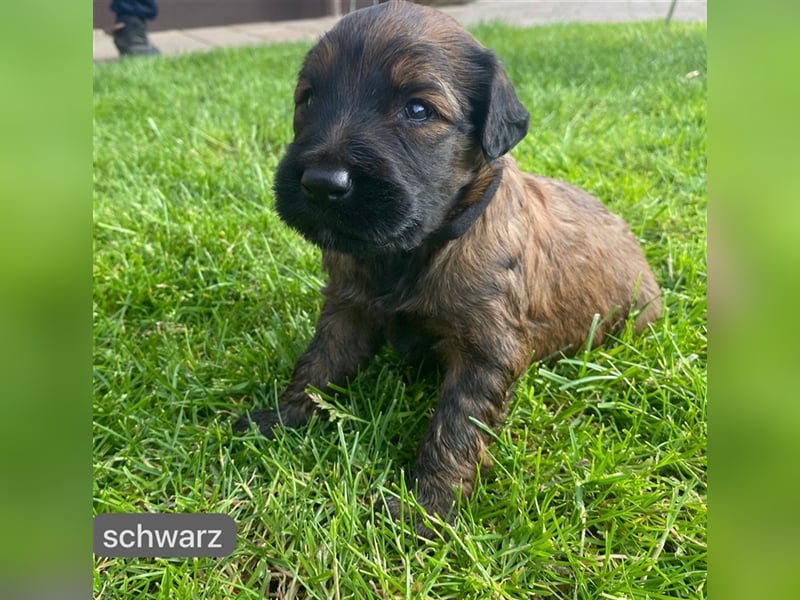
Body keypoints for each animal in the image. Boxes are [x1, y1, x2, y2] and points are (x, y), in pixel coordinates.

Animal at [238, 0, 664, 536]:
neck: (413, 251)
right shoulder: (347, 309)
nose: (321, 183)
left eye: (418, 109)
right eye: (309, 99)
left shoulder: (485, 351)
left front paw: (428, 508)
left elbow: (456, 426)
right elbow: (317, 365)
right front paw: (282, 416)